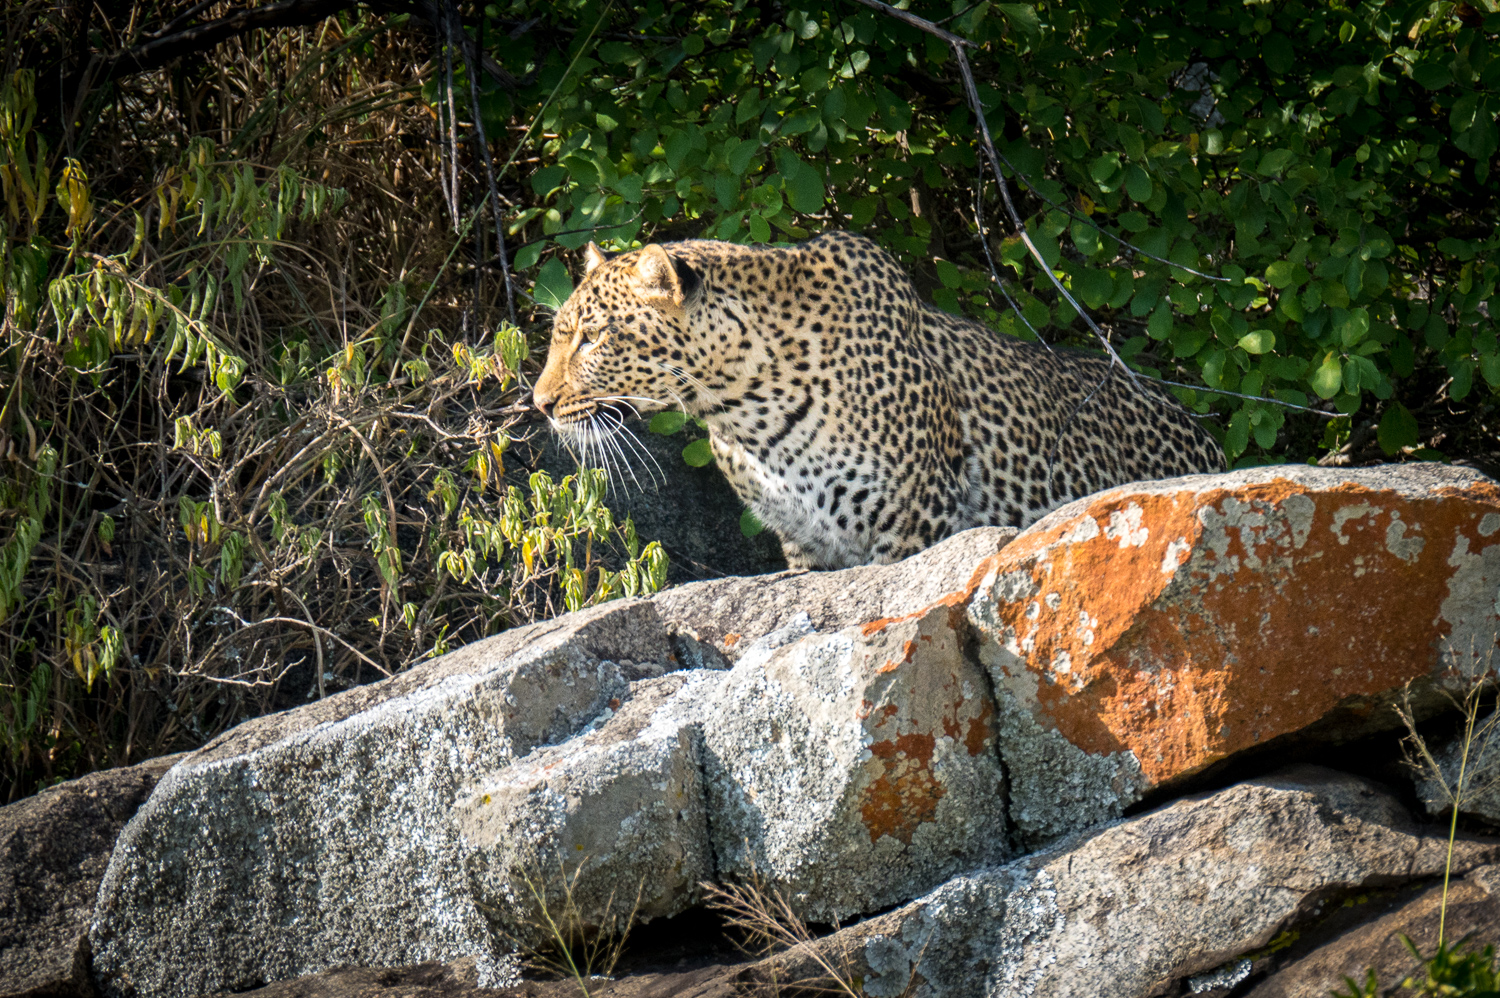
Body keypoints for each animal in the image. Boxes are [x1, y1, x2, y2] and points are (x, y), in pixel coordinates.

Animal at [534, 228, 1224, 567]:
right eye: (560, 334)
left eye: (593, 338)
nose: (539, 404)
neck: (741, 408)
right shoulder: (804, 542)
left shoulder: (914, 519)